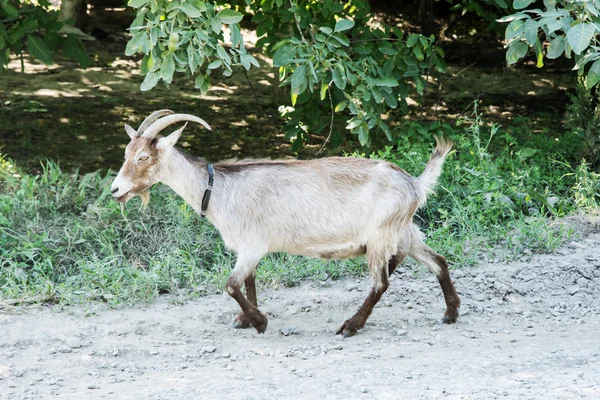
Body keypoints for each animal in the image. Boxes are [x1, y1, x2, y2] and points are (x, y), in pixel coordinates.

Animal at [111, 110, 460, 338]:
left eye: (144, 157)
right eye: (126, 152)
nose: (115, 189)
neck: (219, 188)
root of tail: (415, 182)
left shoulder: (252, 245)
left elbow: (232, 284)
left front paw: (259, 322)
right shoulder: (249, 248)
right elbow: (250, 282)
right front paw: (245, 319)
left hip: (381, 233)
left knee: (381, 282)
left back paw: (350, 326)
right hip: (404, 230)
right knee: (436, 260)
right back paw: (451, 312)